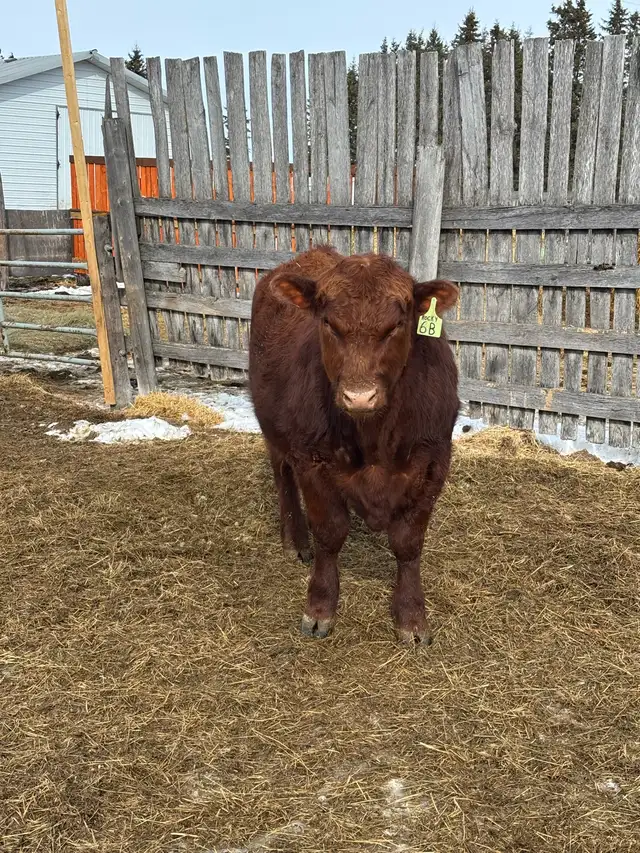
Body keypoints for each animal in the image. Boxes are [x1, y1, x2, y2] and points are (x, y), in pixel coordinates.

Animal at [249, 246, 459, 644]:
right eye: (329, 323)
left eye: (396, 325)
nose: (359, 396)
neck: (375, 439)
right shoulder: (312, 461)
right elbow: (330, 534)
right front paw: (320, 608)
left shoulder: (433, 463)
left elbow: (408, 543)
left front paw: (412, 617)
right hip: (273, 431)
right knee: (283, 477)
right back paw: (295, 541)